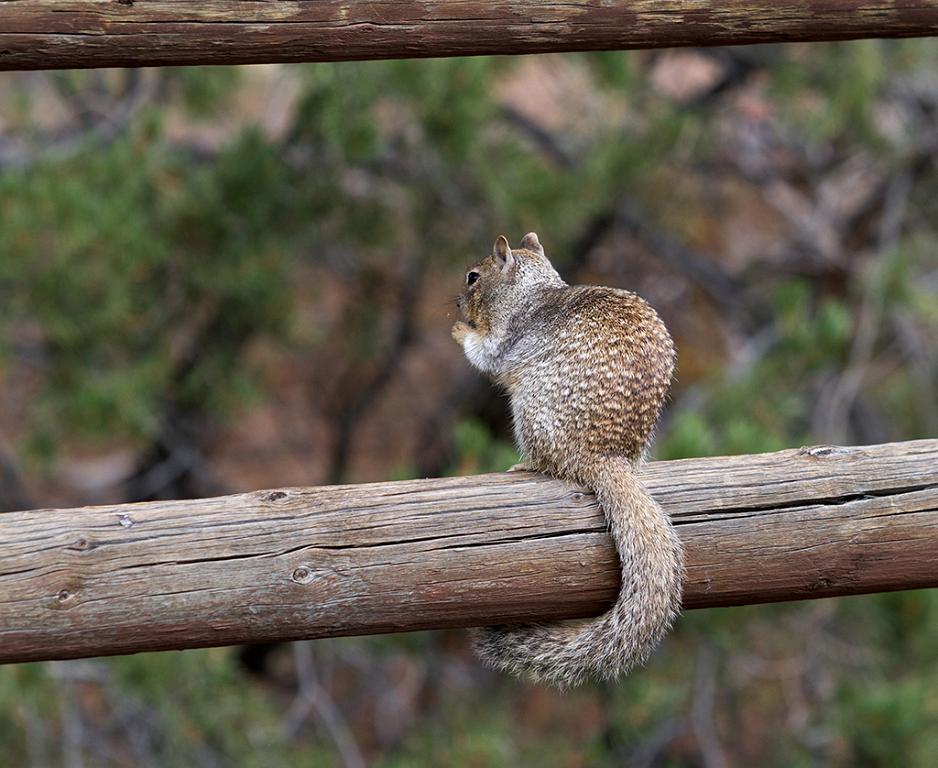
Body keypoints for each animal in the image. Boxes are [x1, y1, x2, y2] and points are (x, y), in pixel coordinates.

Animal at [450, 231, 684, 688]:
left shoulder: (509, 336)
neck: (530, 290)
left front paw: (458, 330)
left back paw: (525, 464)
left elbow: (487, 355)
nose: (455, 304)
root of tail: (606, 457)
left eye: (473, 277)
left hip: (529, 410)